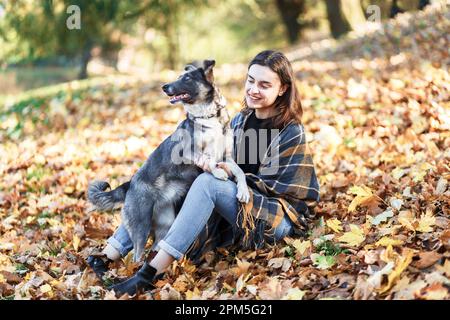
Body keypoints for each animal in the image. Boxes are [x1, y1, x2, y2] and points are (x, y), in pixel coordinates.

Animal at [88, 60, 250, 262]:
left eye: (187, 78)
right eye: (179, 77)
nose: (164, 87)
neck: (208, 117)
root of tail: (129, 184)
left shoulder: (227, 157)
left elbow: (240, 172)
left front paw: (243, 192)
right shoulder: (186, 151)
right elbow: (208, 160)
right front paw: (218, 172)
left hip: (165, 224)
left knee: (156, 246)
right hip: (141, 225)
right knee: (137, 254)